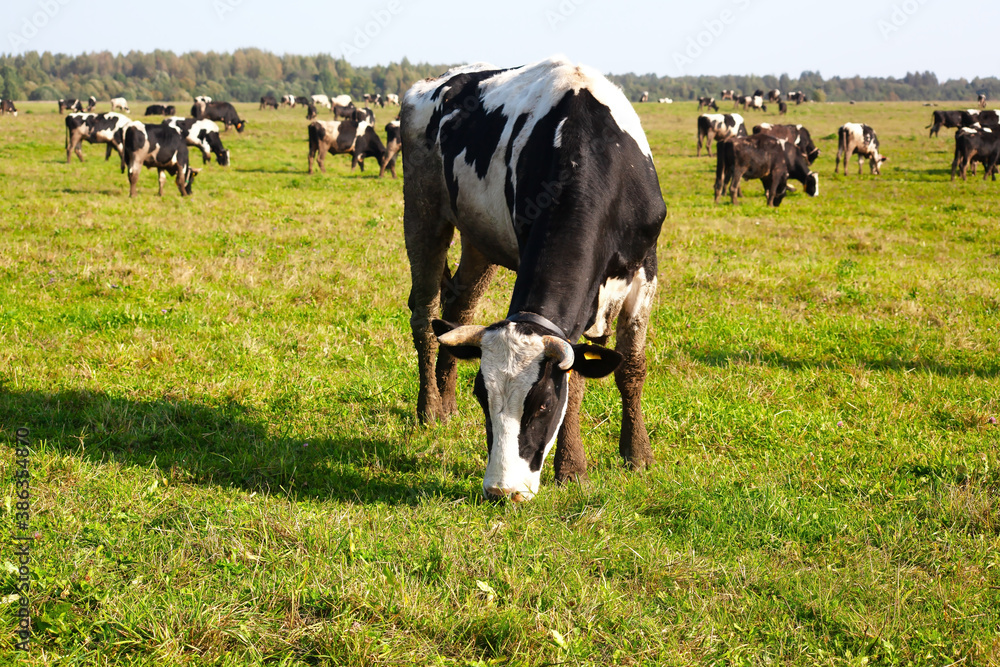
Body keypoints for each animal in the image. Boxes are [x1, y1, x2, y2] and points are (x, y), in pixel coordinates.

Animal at [401, 56, 666, 501]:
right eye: (483, 397)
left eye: (540, 404)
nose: (501, 491)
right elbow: (579, 381)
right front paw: (573, 467)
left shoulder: (645, 269)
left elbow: (630, 365)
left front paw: (638, 453)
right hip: (422, 214)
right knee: (424, 317)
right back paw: (431, 407)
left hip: (480, 240)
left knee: (457, 311)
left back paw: (446, 399)